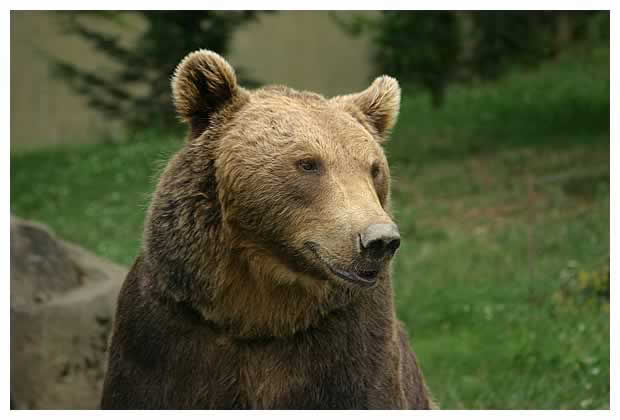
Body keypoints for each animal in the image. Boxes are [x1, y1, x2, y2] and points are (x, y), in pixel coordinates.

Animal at [99, 50, 434, 410]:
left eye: (374, 169)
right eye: (308, 164)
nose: (380, 240)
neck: (260, 315)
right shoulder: (163, 335)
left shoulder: (350, 346)